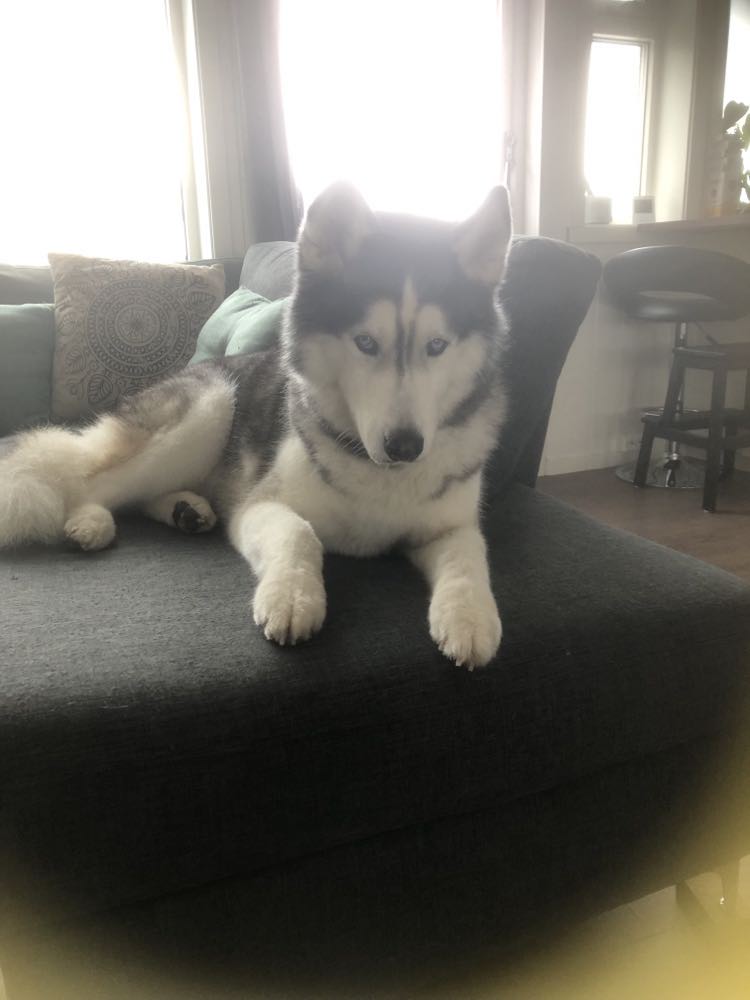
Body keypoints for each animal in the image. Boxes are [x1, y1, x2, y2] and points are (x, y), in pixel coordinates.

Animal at [0, 182, 512, 669]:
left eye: (437, 345)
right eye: (365, 342)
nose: (406, 446)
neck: (374, 469)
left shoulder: (449, 525)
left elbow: (471, 556)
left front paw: (470, 618)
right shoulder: (259, 505)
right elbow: (300, 533)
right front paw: (293, 596)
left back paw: (185, 509)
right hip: (208, 407)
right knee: (91, 483)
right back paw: (88, 520)